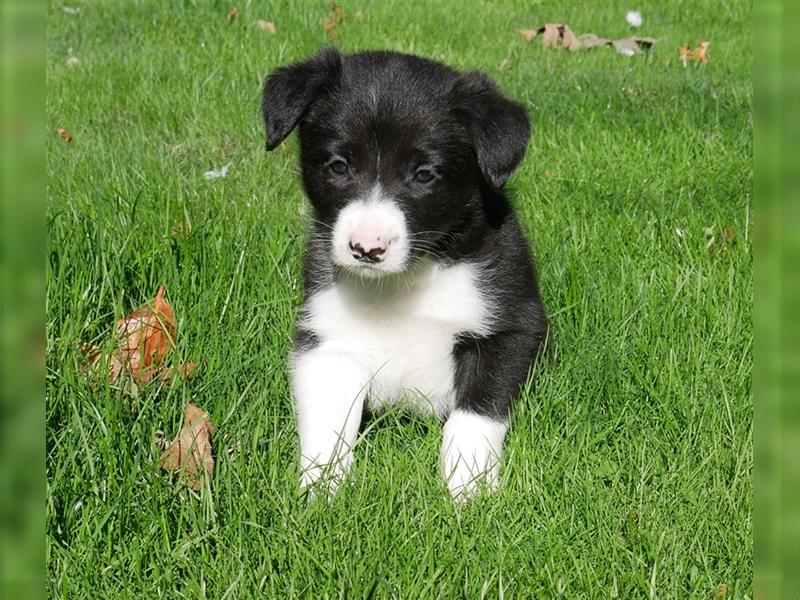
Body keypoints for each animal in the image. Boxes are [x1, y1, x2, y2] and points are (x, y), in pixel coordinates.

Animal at [262, 48, 552, 496]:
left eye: (424, 174)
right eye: (339, 165)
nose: (367, 248)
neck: (406, 281)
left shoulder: (510, 327)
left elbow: (475, 415)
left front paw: (468, 489)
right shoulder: (328, 339)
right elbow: (327, 424)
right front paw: (322, 494)